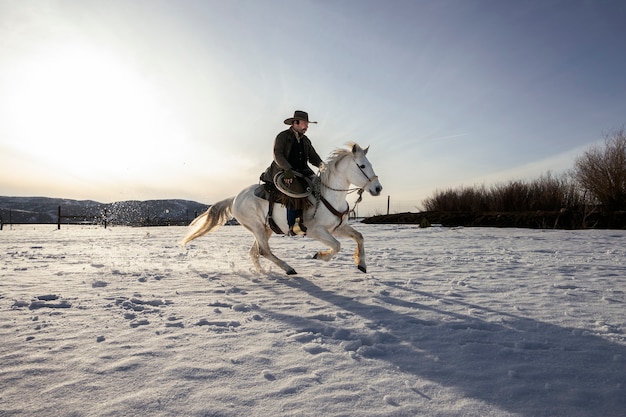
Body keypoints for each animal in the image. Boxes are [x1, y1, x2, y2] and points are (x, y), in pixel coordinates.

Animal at [180, 141, 380, 274]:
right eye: (362, 166)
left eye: (371, 164)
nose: (378, 188)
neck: (328, 196)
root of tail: (235, 197)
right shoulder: (316, 230)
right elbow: (337, 246)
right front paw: (320, 256)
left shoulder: (337, 227)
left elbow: (359, 237)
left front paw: (361, 264)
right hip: (257, 227)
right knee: (263, 251)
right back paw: (288, 268)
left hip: (266, 228)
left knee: (255, 252)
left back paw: (262, 273)